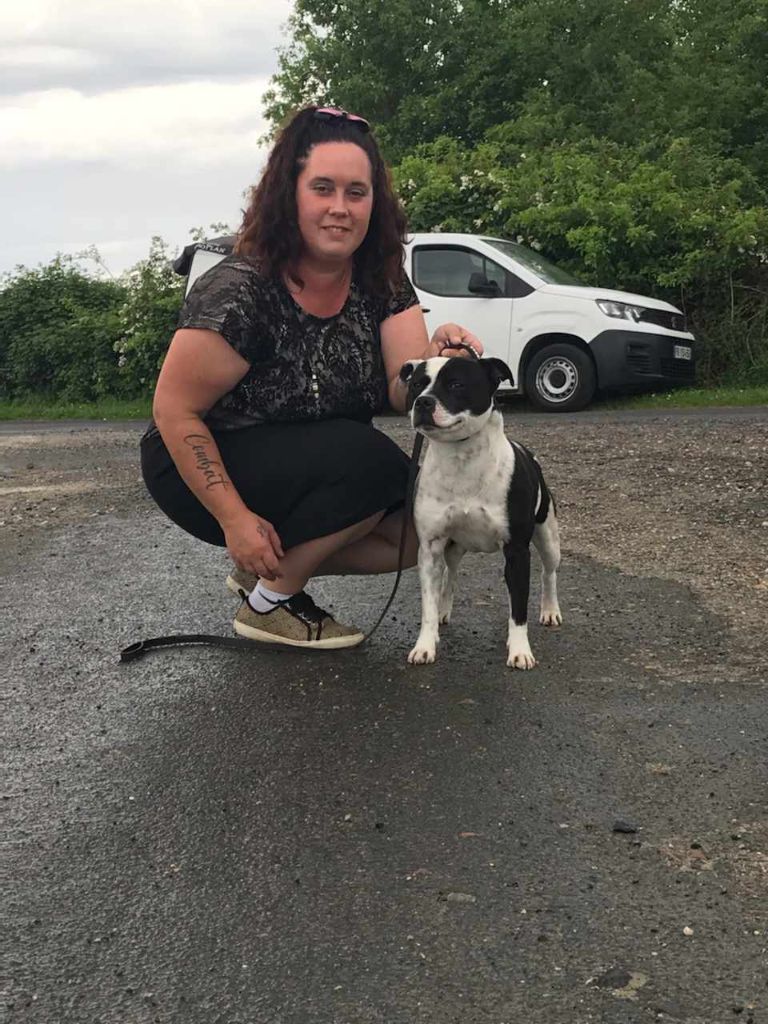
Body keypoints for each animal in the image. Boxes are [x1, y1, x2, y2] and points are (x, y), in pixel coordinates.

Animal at [400, 356, 562, 669]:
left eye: (456, 384)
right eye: (416, 385)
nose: (423, 402)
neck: (461, 459)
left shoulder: (516, 552)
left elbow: (519, 608)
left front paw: (520, 651)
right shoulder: (429, 548)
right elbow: (427, 604)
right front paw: (425, 644)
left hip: (548, 538)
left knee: (548, 573)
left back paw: (549, 610)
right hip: (453, 547)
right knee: (450, 574)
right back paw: (443, 611)